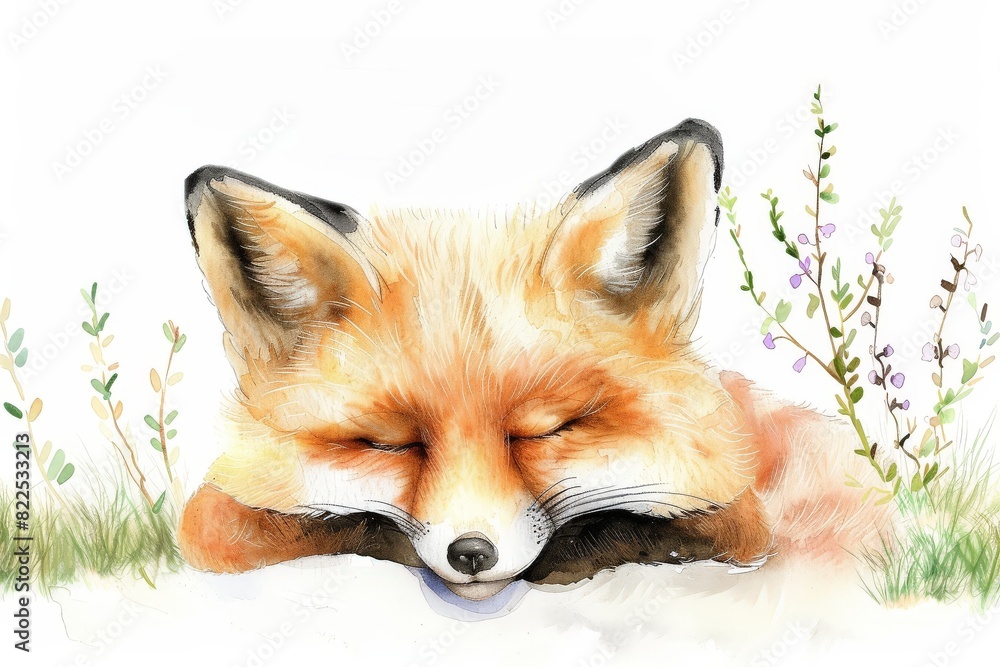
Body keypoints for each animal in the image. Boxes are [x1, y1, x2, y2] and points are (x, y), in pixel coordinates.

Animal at [178, 119, 886, 602]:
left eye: (550, 430)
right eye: (385, 445)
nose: (471, 553)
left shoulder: (741, 516)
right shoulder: (215, 513)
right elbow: (259, 526)